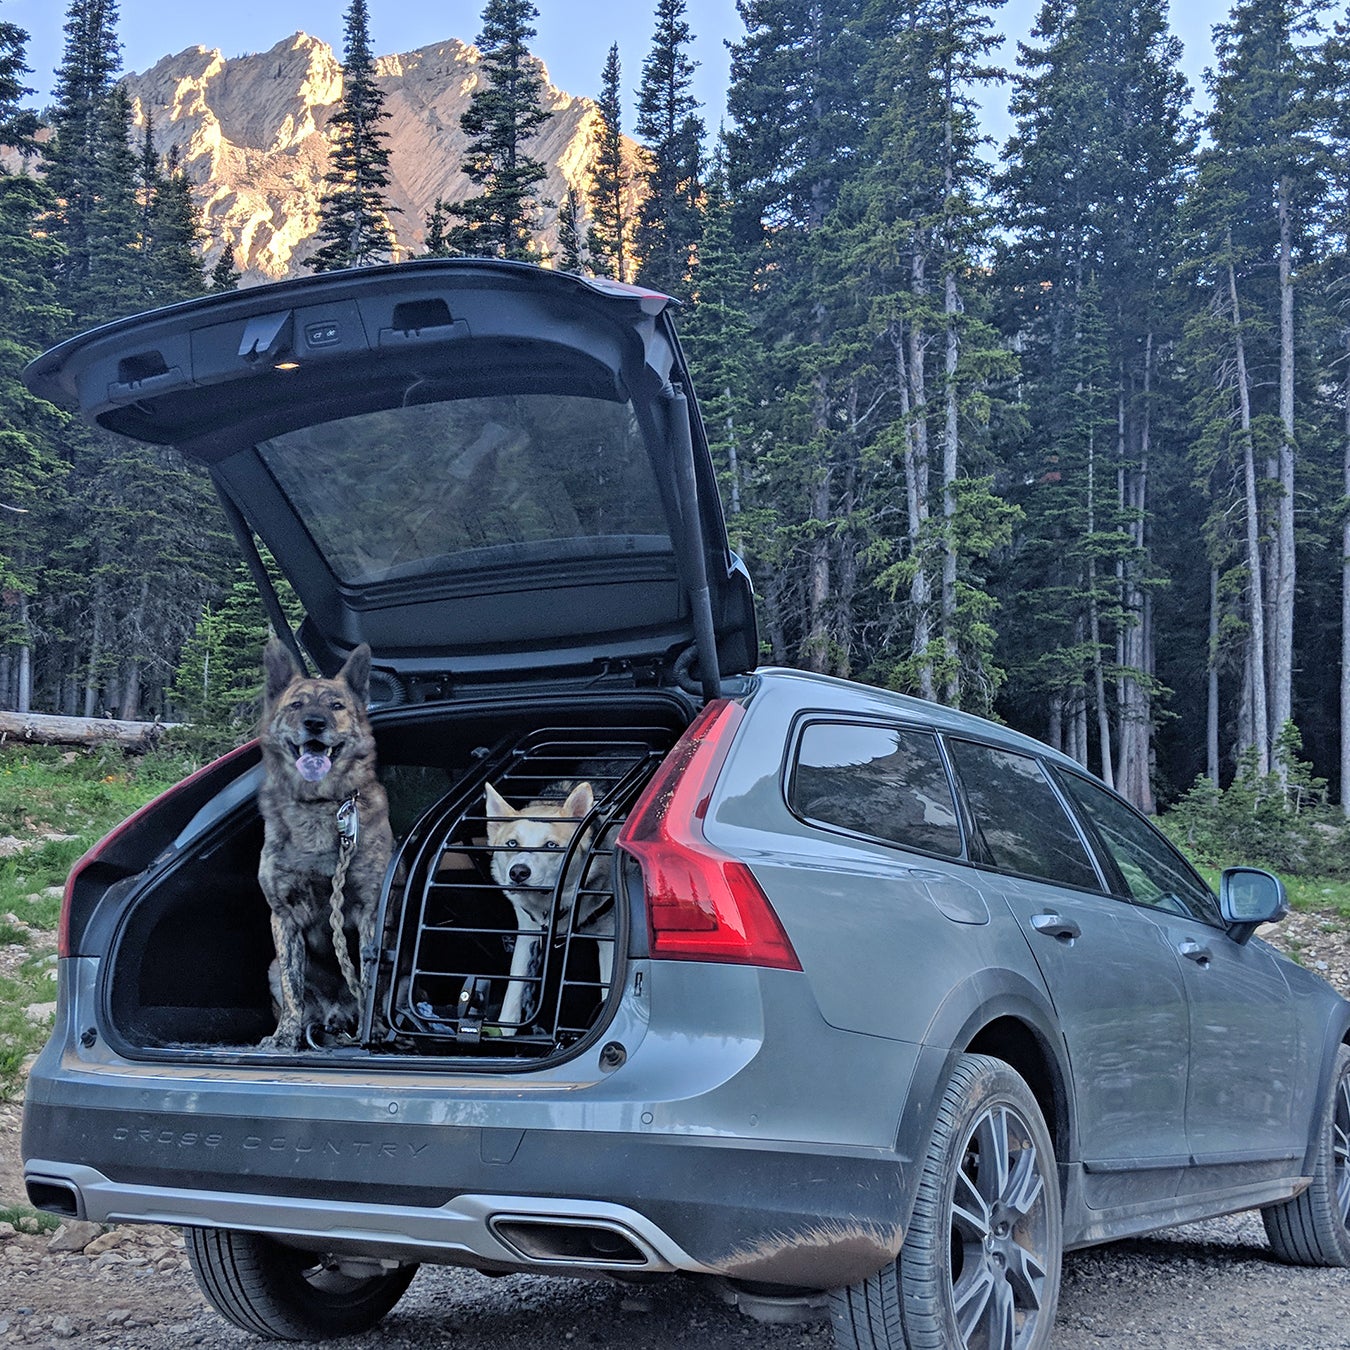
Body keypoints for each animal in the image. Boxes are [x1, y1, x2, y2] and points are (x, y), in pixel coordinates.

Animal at [257, 637, 394, 1047]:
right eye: (296, 705)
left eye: (336, 706)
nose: (315, 723)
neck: (320, 806)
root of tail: (338, 1016)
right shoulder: (284, 917)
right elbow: (293, 987)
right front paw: (285, 1036)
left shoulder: (370, 912)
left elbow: (369, 978)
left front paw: (373, 1029)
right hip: (271, 966)